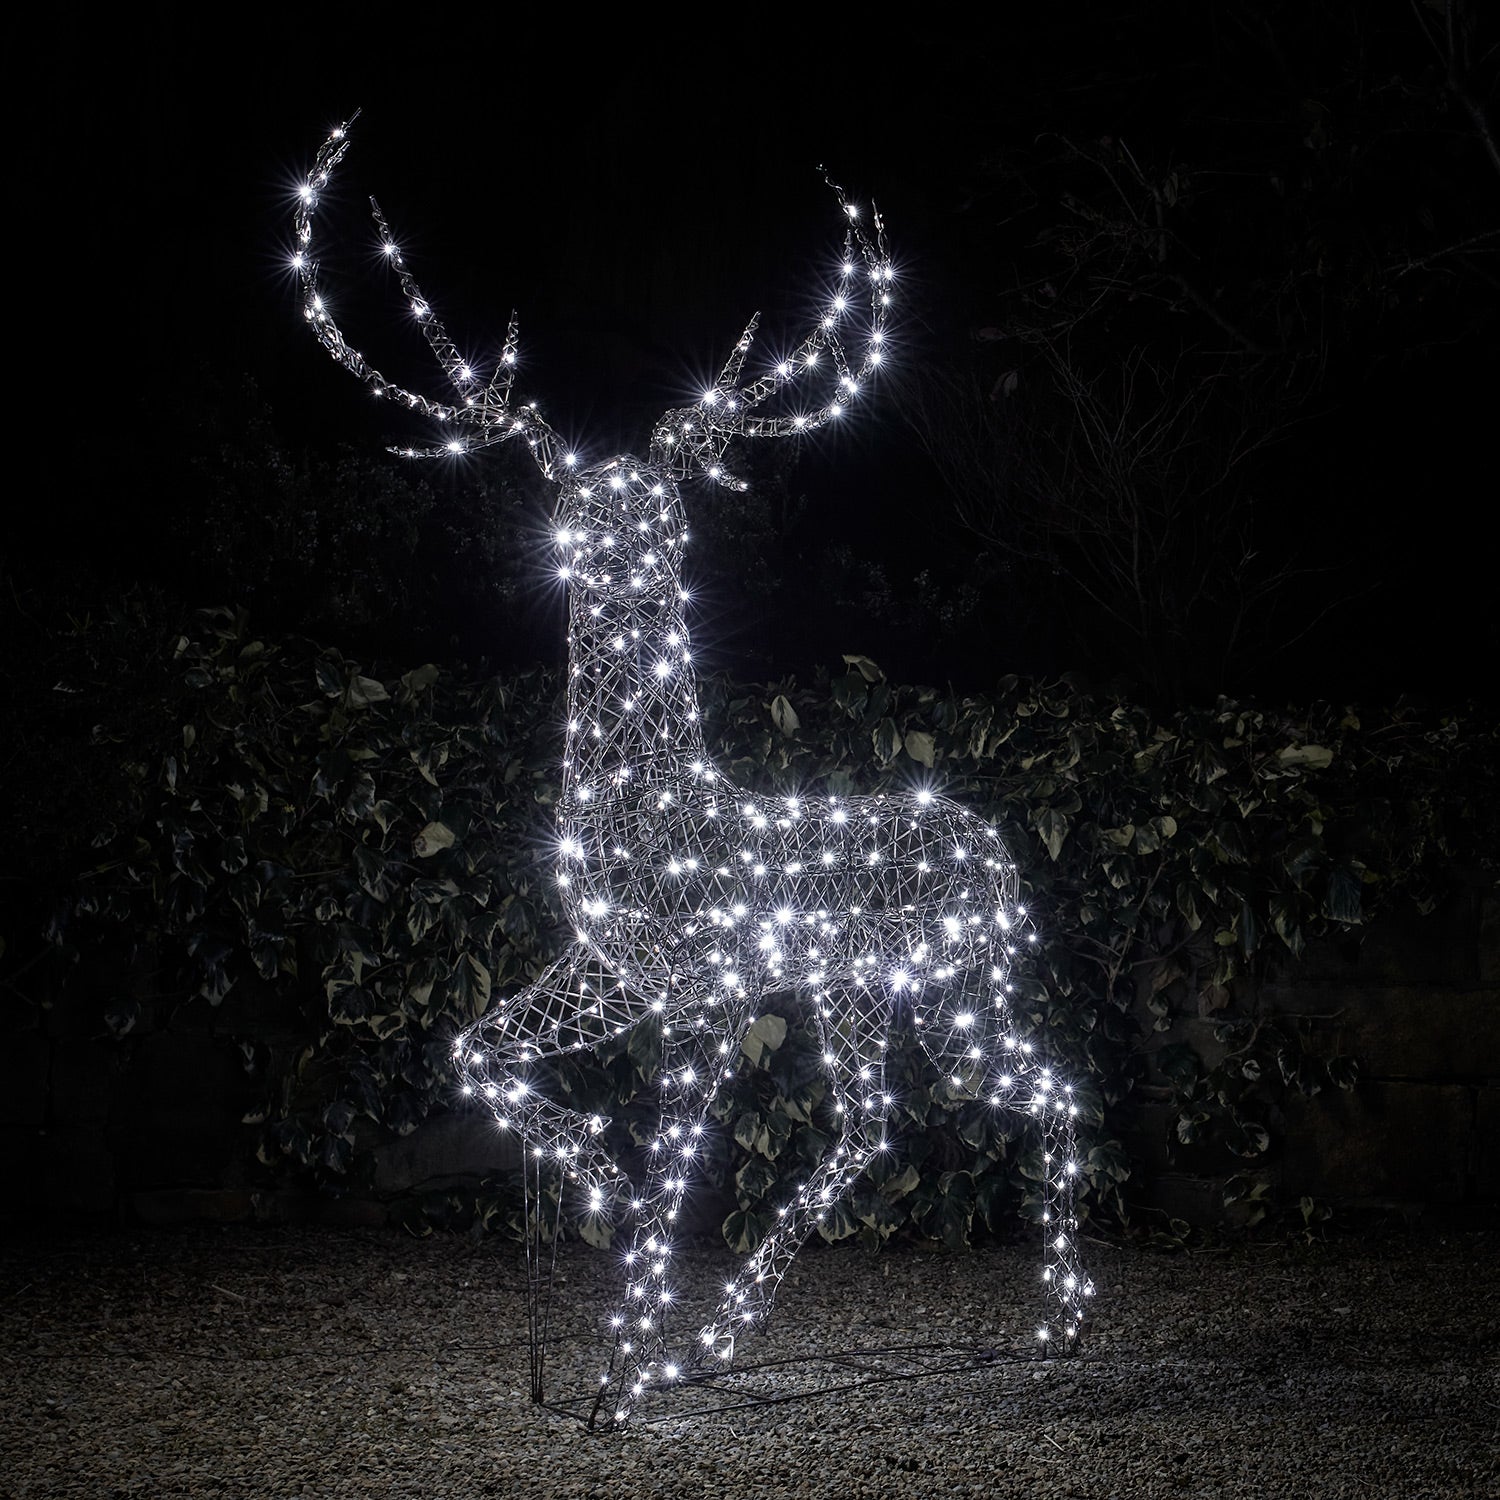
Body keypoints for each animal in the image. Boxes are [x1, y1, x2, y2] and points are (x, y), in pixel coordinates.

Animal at [292, 113, 1095, 1429]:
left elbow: (679, 1176)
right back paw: (745, 1333)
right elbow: (474, 1054)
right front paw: (599, 1203)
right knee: (893, 1121)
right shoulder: (607, 972)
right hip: (875, 986)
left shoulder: (705, 992)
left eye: (655, 512)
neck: (642, 799)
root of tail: (994, 849)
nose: (609, 552)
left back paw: (1056, 1325)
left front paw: (619, 1375)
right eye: (581, 505)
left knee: (1031, 1094)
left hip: (950, 979)